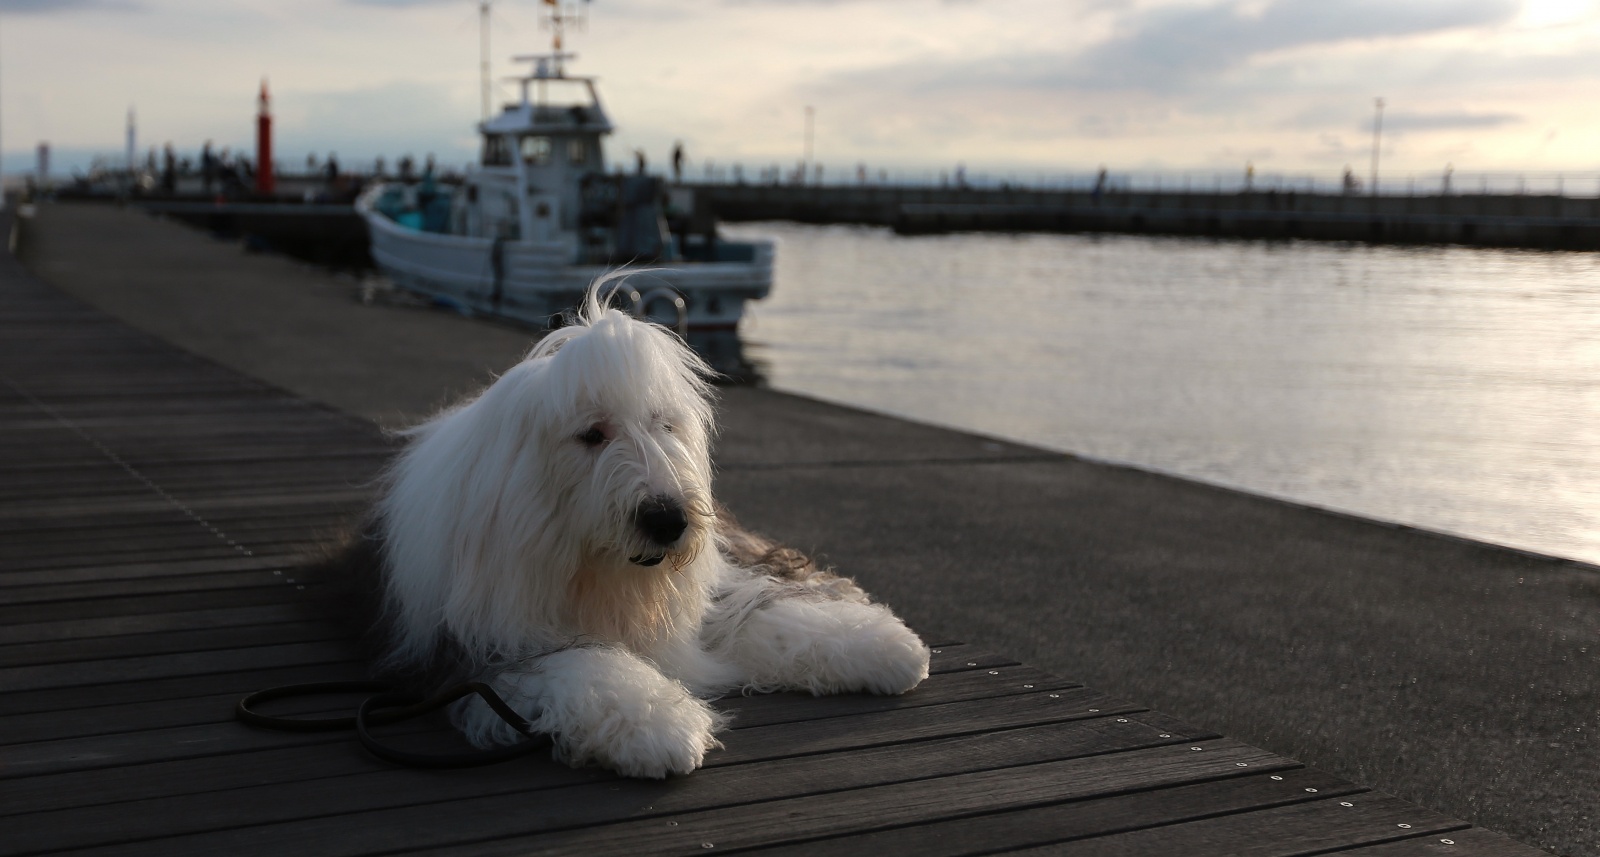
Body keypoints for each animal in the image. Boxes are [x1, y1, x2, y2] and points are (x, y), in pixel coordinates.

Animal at [361, 286, 930, 778]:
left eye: (663, 425)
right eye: (591, 435)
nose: (668, 519)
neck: (595, 574)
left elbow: (766, 617)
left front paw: (884, 647)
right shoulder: (472, 653)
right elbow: (579, 664)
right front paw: (658, 723)